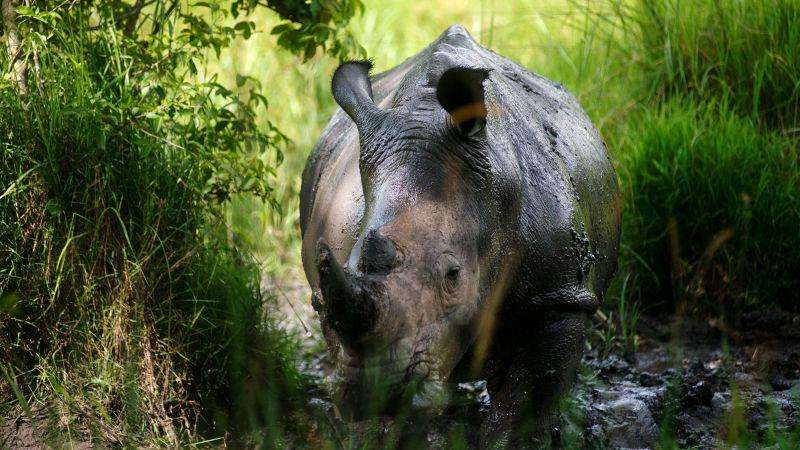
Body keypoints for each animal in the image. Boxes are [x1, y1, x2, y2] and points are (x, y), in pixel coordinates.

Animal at [299, 25, 620, 444]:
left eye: (453, 275)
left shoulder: (560, 293)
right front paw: (380, 434)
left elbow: (528, 402)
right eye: (351, 262)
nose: (376, 392)